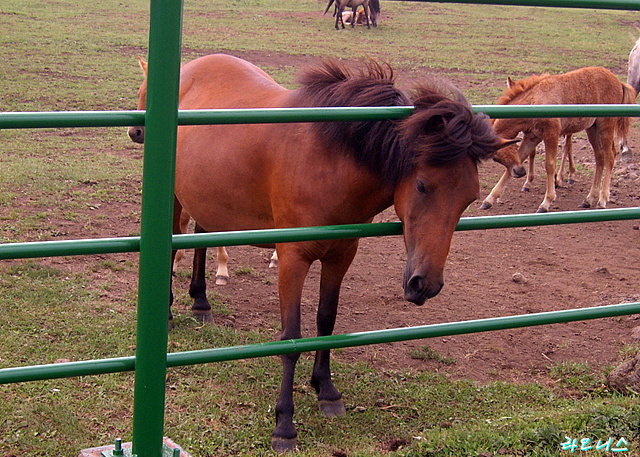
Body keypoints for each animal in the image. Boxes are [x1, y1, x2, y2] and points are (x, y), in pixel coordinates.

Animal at [130, 52, 510, 448]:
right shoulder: (292, 260)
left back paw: (201, 301)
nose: (426, 284)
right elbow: (291, 337)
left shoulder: (340, 255)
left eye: (469, 198)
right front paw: (284, 423)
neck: (330, 158)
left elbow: (326, 322)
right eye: (422, 185)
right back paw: (168, 310)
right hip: (176, 199)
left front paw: (326, 390)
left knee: (202, 238)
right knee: (174, 243)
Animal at [484, 67, 636, 212]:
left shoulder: (552, 133)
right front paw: (489, 199)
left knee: (610, 156)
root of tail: (619, 82)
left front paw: (546, 202)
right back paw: (589, 199)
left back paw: (602, 200)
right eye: (495, 158)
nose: (520, 172)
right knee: (600, 157)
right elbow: (520, 157)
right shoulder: (532, 137)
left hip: (606, 125)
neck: (535, 101)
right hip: (592, 128)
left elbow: (550, 165)